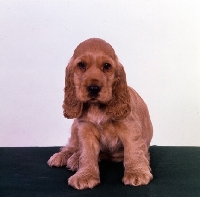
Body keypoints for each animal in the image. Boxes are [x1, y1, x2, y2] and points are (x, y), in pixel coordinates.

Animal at [47, 37, 153, 190]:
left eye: (107, 66)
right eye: (81, 65)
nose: (93, 88)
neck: (97, 108)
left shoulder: (130, 129)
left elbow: (133, 150)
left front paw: (136, 172)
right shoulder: (86, 131)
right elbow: (87, 154)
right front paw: (85, 175)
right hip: (75, 127)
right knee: (72, 146)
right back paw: (65, 157)